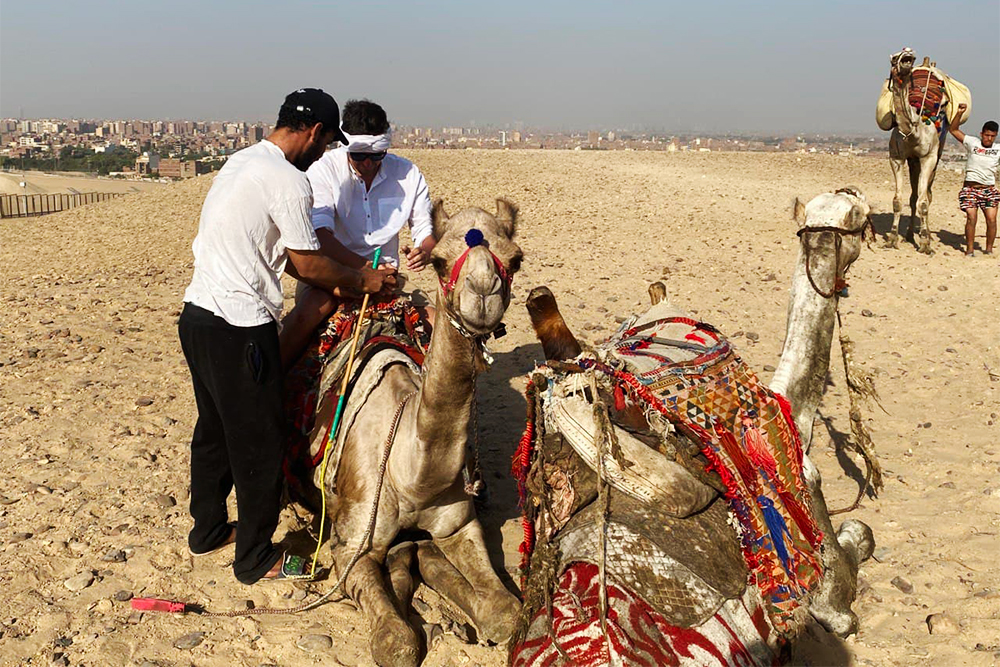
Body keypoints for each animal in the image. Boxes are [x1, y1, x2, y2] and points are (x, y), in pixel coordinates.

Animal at [284, 200, 524, 667]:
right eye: (440, 261)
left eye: (516, 259)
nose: (483, 291)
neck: (410, 473)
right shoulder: (351, 546)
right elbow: (398, 644)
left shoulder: (460, 524)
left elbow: (506, 613)